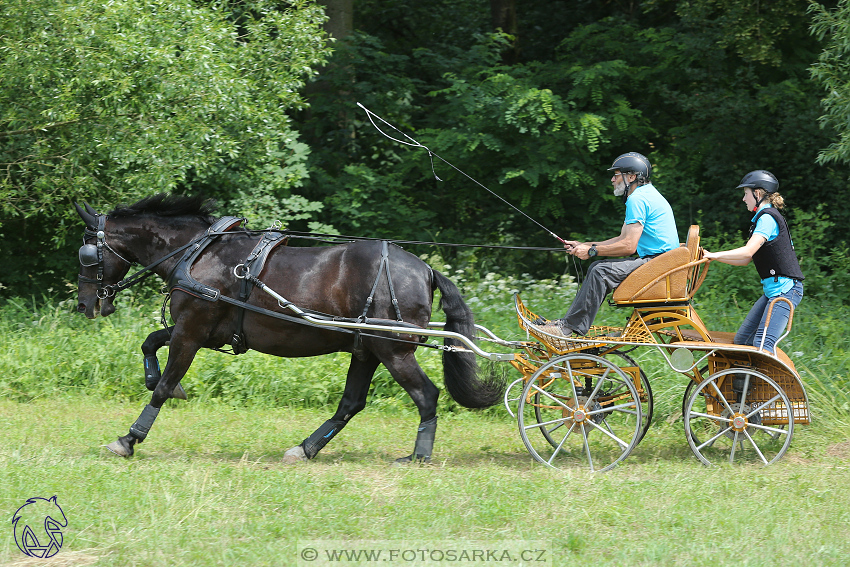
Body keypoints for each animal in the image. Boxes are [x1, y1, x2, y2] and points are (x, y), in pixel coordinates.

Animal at [74, 197, 504, 464]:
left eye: (87, 253)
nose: (85, 305)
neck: (197, 254)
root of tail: (425, 269)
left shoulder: (192, 330)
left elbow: (164, 385)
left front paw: (129, 439)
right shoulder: (201, 332)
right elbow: (150, 344)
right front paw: (152, 380)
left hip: (393, 350)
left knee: (426, 396)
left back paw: (418, 455)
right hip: (366, 349)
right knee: (350, 404)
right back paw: (306, 449)